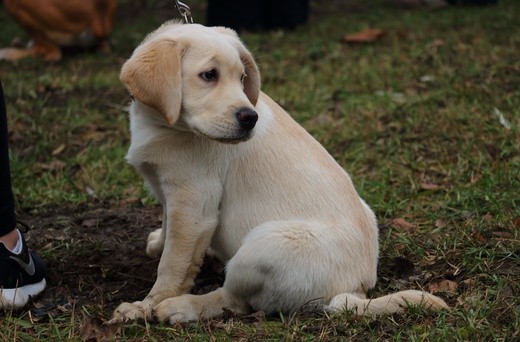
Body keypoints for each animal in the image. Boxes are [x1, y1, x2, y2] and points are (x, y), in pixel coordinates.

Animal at [110, 21, 446, 324]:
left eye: (242, 77)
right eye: (209, 75)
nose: (250, 118)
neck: (163, 125)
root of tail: (356, 289)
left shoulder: (194, 202)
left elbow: (173, 264)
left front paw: (147, 306)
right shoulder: (172, 193)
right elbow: (168, 226)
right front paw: (158, 242)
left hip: (261, 247)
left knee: (237, 300)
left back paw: (182, 307)